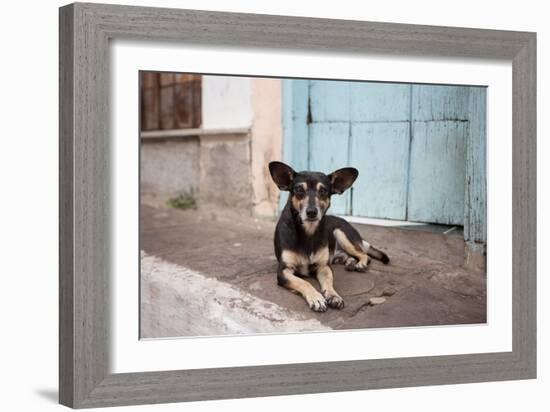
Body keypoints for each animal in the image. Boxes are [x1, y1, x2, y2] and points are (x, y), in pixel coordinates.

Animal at [270, 161, 390, 312]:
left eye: (323, 191)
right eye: (299, 190)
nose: (311, 212)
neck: (308, 232)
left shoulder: (324, 267)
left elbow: (329, 283)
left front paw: (334, 296)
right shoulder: (284, 271)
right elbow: (304, 282)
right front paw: (316, 298)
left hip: (340, 233)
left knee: (364, 254)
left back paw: (360, 264)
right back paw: (350, 262)